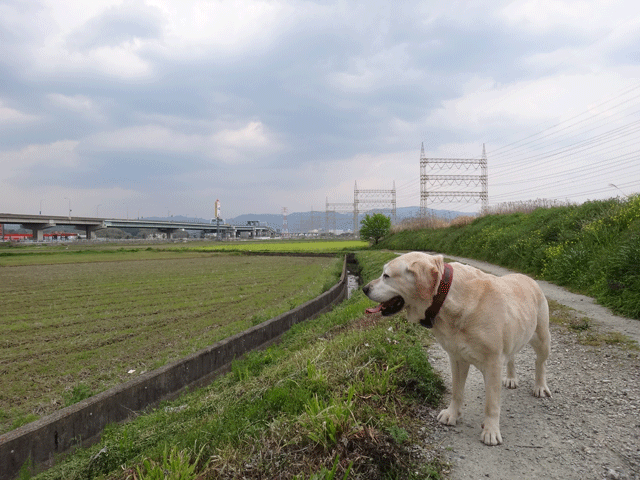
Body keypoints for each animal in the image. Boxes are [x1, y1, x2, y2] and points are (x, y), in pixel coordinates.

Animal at [362, 253, 552, 444]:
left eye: (386, 276)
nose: (364, 288)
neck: (446, 297)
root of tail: (528, 278)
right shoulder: (457, 358)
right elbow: (457, 391)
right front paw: (452, 414)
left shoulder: (493, 363)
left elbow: (491, 403)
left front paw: (491, 430)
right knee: (512, 357)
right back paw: (512, 379)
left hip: (542, 339)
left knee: (540, 363)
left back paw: (540, 387)